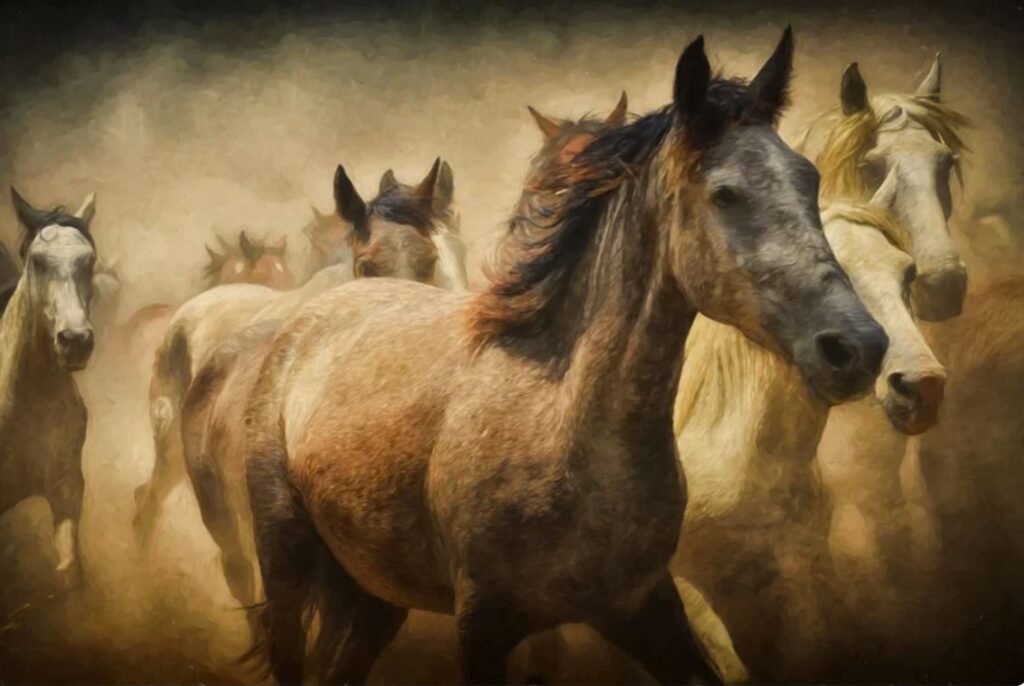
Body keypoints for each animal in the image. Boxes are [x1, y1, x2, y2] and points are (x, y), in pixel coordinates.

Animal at [241, 29, 889, 685]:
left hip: (374, 592)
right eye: (725, 193)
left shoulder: (642, 608)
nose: (857, 347)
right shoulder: (483, 625)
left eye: (808, 179)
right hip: (287, 559)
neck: (564, 423)